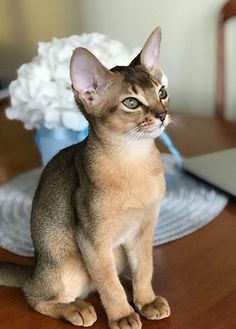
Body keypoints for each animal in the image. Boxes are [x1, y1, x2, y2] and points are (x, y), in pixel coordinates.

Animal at [0, 26, 171, 326]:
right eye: (131, 102)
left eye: (161, 92)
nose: (162, 115)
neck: (133, 160)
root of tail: (35, 267)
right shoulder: (92, 240)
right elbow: (108, 284)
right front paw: (122, 316)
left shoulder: (143, 231)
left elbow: (145, 269)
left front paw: (146, 300)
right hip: (71, 266)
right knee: (35, 294)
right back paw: (76, 308)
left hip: (117, 252)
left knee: (113, 278)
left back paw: (130, 290)